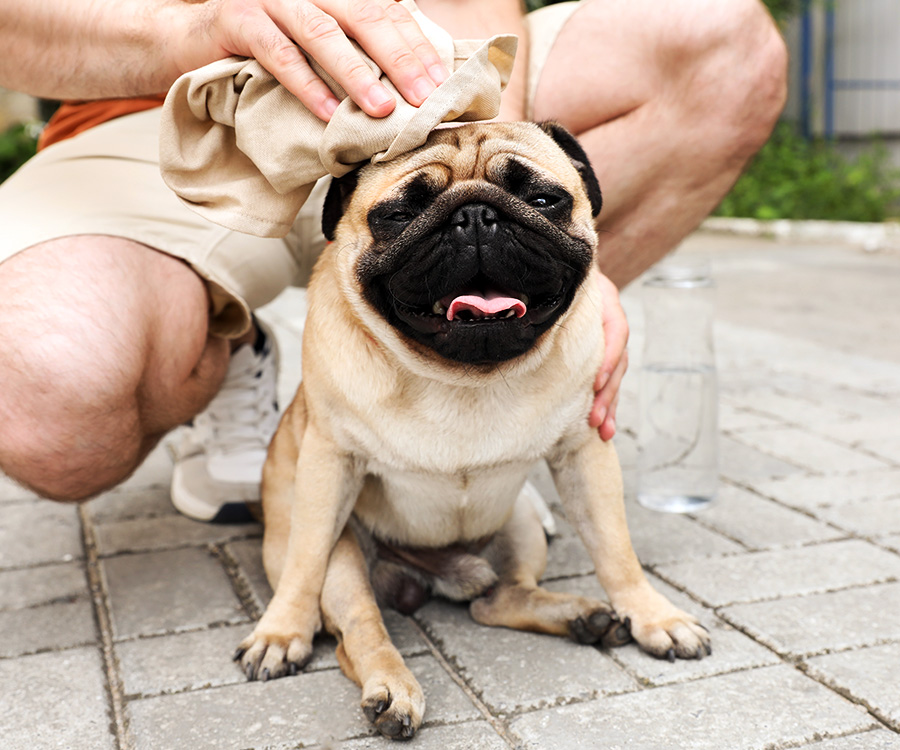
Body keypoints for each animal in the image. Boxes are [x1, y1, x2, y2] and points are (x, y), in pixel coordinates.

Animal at [236, 122, 712, 740]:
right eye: (398, 215)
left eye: (544, 200)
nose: (476, 215)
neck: (464, 378)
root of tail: (434, 574)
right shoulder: (328, 463)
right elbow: (304, 564)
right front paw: (282, 630)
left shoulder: (584, 454)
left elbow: (616, 548)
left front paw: (653, 614)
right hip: (345, 558)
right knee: (359, 626)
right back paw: (391, 690)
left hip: (521, 525)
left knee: (497, 600)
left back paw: (580, 616)